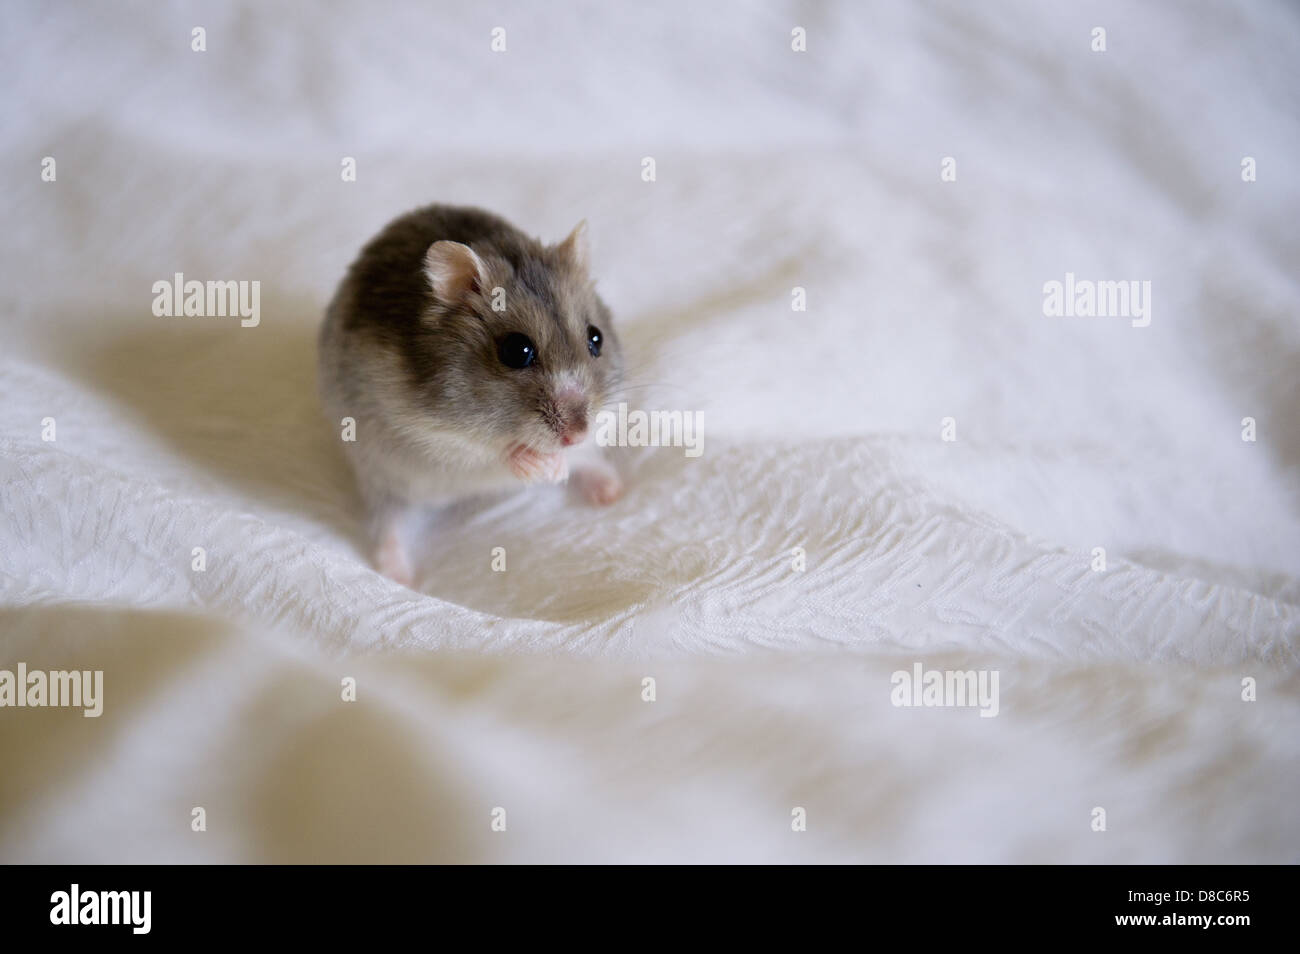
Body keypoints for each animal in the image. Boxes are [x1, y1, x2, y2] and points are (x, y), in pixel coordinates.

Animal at [318, 205, 624, 587]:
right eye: (517, 351)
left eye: (596, 338)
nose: (577, 434)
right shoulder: (431, 435)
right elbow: (493, 452)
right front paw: (544, 467)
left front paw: (559, 468)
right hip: (380, 477)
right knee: (388, 523)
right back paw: (401, 577)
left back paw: (612, 491)